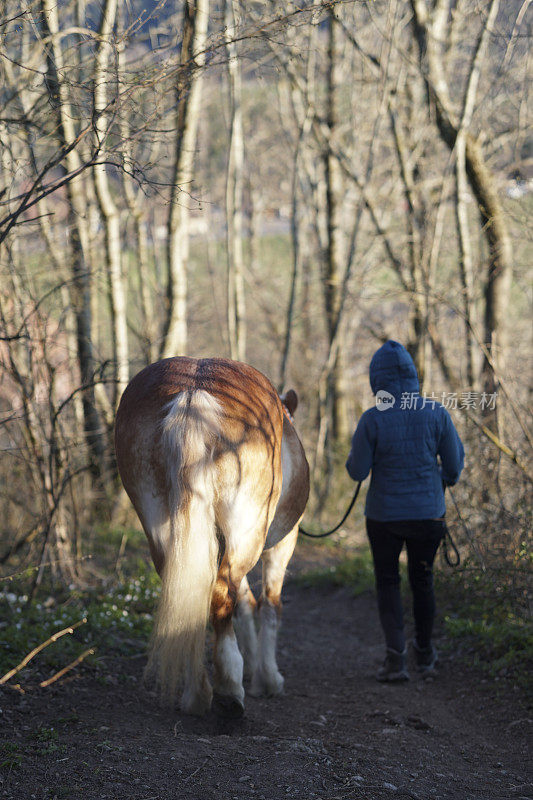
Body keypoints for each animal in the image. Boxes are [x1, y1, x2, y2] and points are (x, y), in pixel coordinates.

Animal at [114, 356, 310, 720]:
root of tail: (193, 391)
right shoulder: (280, 545)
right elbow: (269, 606)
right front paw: (267, 677)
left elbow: (245, 604)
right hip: (248, 535)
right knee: (221, 596)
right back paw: (229, 689)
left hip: (166, 532)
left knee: (192, 594)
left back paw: (197, 693)